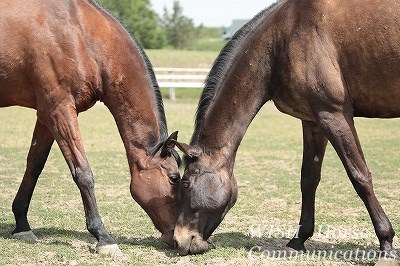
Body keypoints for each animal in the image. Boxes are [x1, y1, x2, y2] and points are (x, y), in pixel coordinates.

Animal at [0, 0, 184, 255]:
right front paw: (103, 236)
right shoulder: (59, 110)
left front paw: (22, 225)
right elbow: (83, 173)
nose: (178, 237)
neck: (80, 33)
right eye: (174, 178)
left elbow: (34, 165)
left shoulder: (47, 115)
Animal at [174, 0, 400, 258]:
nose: (178, 240)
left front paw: (386, 242)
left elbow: (360, 176)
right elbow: (309, 178)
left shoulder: (334, 116)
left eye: (185, 183)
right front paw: (299, 239)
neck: (283, 38)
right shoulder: (314, 121)